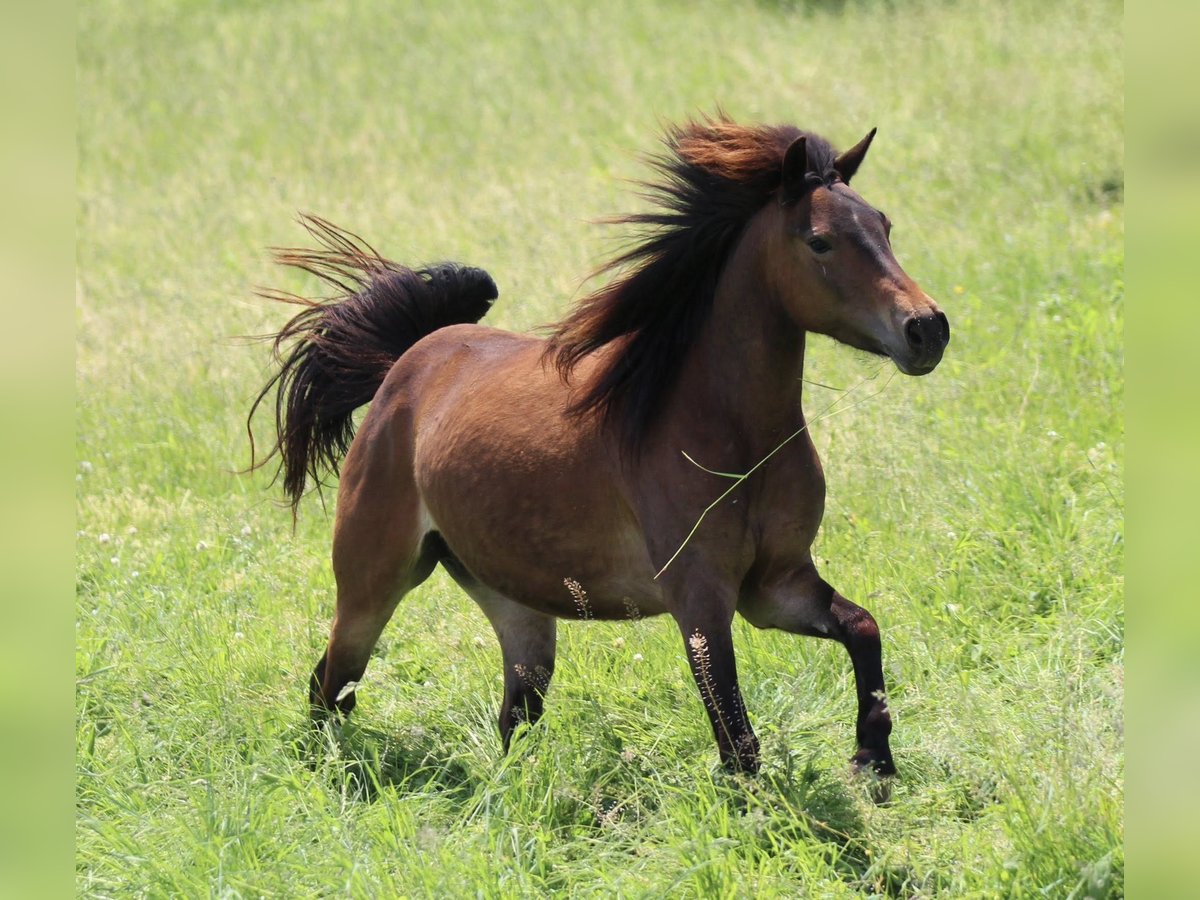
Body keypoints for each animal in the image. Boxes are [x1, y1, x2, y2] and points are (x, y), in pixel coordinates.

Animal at [248, 116, 949, 776]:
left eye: (885, 226)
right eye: (819, 240)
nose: (928, 329)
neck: (732, 438)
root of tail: (408, 362)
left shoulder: (776, 585)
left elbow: (862, 627)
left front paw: (874, 760)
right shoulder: (701, 602)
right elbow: (739, 743)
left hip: (516, 609)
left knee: (512, 715)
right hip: (374, 582)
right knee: (331, 685)